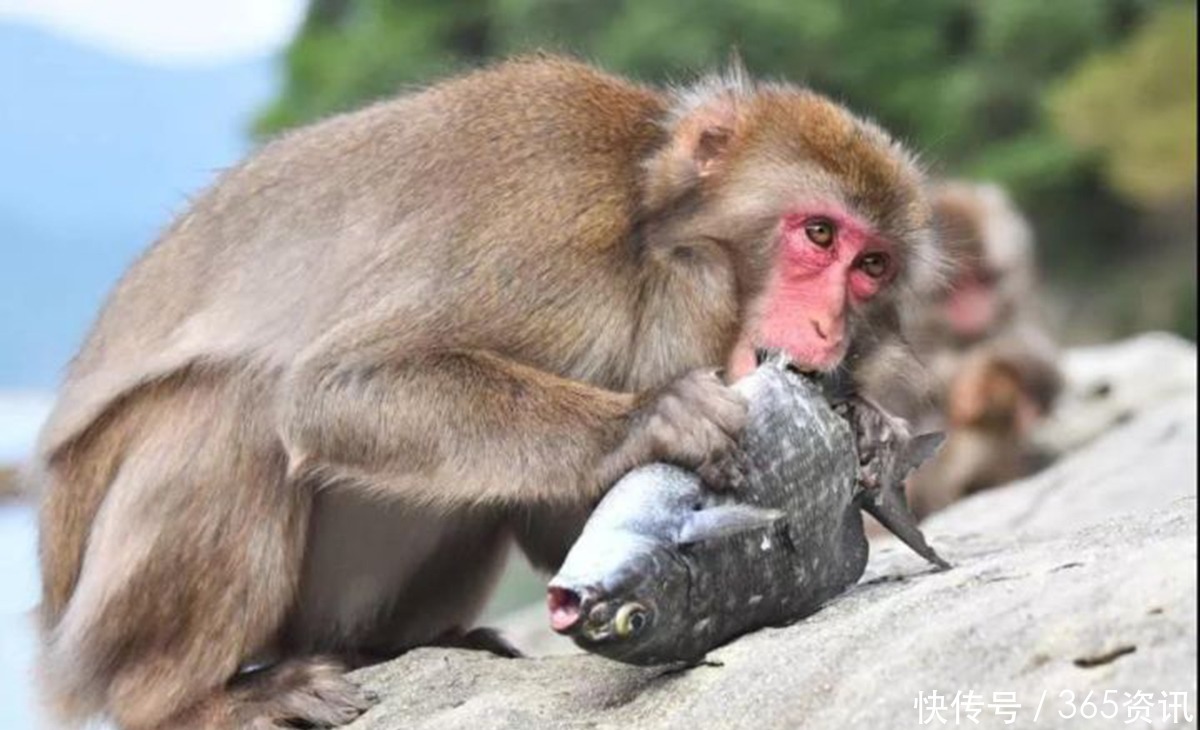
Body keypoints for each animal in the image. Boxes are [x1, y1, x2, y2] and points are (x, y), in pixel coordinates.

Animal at [35, 54, 936, 725]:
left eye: (871, 266)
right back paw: (187, 701)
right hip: (98, 627)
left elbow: (559, 524)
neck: (648, 247)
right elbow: (334, 388)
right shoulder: (548, 212)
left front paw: (867, 426)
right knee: (233, 410)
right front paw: (653, 419)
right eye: (817, 234)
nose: (828, 327)